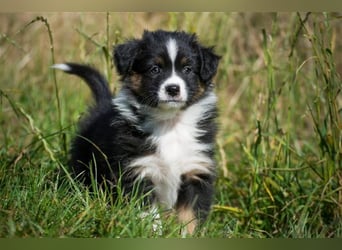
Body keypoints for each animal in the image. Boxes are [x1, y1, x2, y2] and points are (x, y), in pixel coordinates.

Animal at [52, 29, 219, 234]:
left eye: (188, 69)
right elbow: (149, 214)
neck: (169, 123)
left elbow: (190, 217)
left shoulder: (195, 171)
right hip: (84, 164)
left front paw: (187, 235)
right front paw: (152, 233)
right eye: (155, 69)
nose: (173, 89)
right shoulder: (139, 171)